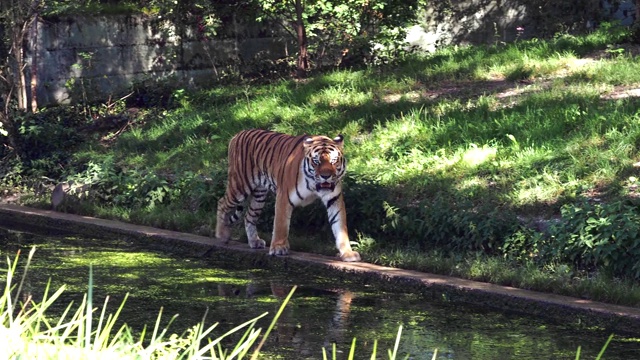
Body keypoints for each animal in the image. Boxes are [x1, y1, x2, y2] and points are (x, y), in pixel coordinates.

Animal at [216, 129, 360, 262]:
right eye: (316, 161)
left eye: (334, 161)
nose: (326, 176)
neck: (314, 184)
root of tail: (237, 134)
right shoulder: (284, 196)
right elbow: (281, 224)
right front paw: (278, 248)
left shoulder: (334, 199)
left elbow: (340, 226)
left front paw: (348, 253)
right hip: (240, 186)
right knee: (222, 203)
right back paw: (222, 235)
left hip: (259, 195)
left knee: (249, 216)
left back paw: (254, 242)